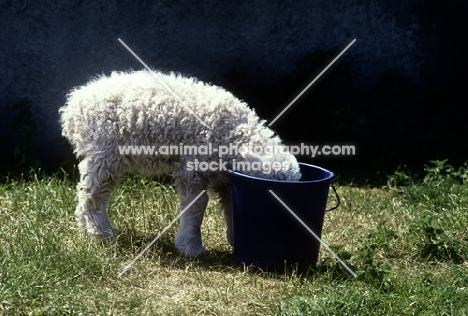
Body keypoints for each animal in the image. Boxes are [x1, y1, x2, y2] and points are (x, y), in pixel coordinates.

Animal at [59, 69, 300, 256]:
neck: (234, 134)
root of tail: (73, 105)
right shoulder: (192, 167)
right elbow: (196, 205)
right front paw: (190, 246)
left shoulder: (225, 178)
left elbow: (231, 206)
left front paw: (234, 237)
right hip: (105, 153)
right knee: (92, 195)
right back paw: (101, 234)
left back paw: (87, 229)